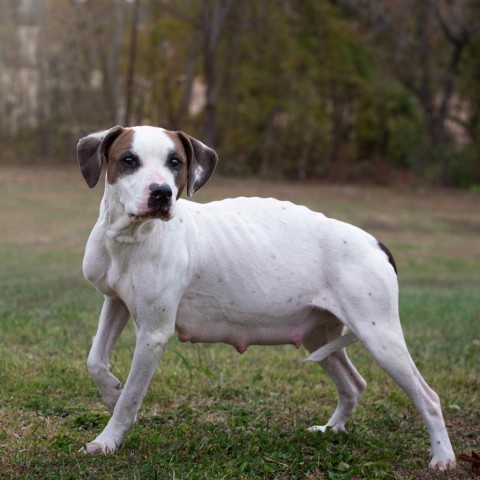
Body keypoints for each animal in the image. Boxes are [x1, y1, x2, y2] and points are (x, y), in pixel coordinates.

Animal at [77, 124, 456, 468]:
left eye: (175, 162)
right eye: (128, 160)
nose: (161, 193)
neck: (128, 240)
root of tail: (376, 242)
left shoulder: (154, 334)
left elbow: (132, 397)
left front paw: (108, 440)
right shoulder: (116, 303)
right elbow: (95, 360)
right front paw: (110, 392)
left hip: (380, 337)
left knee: (428, 397)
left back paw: (443, 457)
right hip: (320, 336)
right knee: (353, 384)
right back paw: (331, 430)